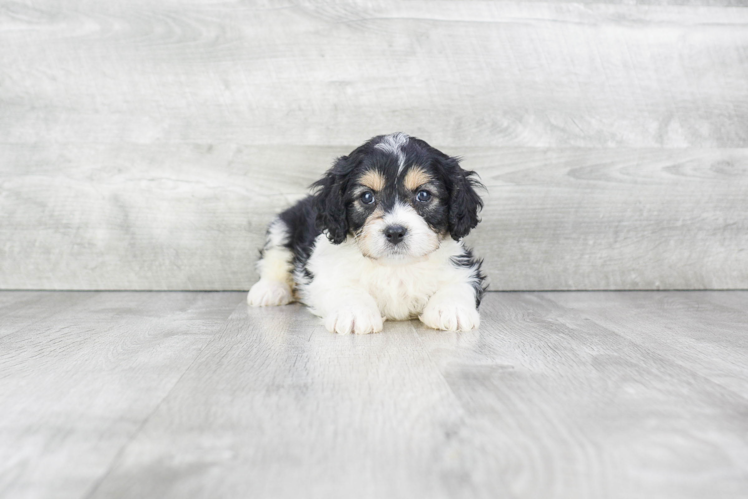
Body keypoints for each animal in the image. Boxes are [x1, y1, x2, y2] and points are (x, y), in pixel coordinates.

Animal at [248, 135, 488, 334]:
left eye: (423, 195)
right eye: (366, 197)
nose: (395, 232)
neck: (395, 267)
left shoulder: (462, 265)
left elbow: (458, 284)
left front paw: (451, 310)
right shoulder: (327, 269)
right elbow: (345, 287)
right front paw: (354, 313)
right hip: (283, 226)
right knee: (274, 260)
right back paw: (269, 290)